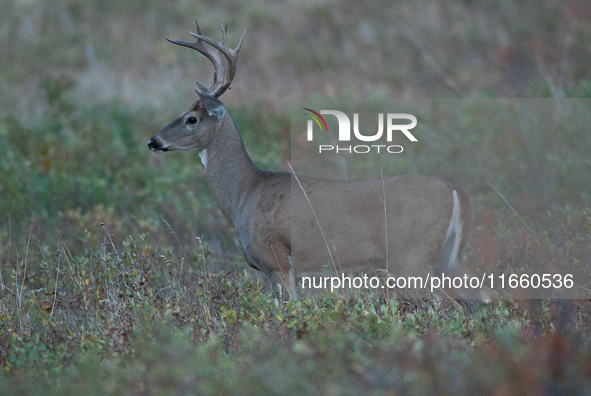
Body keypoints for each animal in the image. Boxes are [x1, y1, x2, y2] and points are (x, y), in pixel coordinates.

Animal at [149, 19, 490, 304]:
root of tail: (458, 193)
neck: (244, 193)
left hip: (412, 257)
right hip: (446, 258)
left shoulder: (275, 260)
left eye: (191, 119)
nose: (154, 141)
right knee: (482, 297)